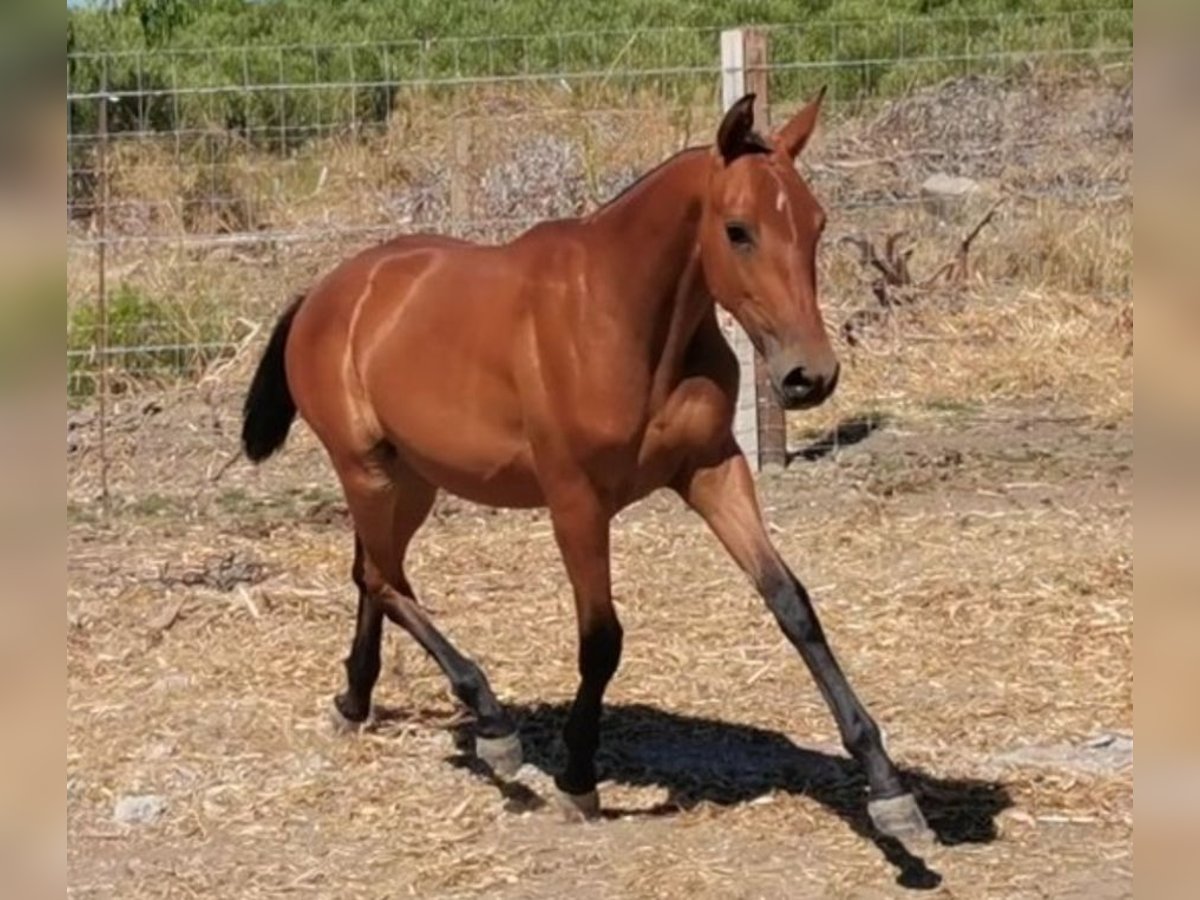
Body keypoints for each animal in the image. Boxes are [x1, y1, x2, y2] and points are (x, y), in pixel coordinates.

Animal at [241, 91, 926, 844]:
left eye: (816, 223)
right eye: (738, 230)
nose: (810, 377)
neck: (624, 320)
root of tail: (325, 292)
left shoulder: (713, 471)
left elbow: (792, 604)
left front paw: (889, 790)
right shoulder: (575, 500)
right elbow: (601, 639)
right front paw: (576, 779)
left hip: (412, 477)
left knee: (374, 574)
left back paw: (356, 700)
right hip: (365, 468)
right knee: (382, 579)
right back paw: (491, 725)